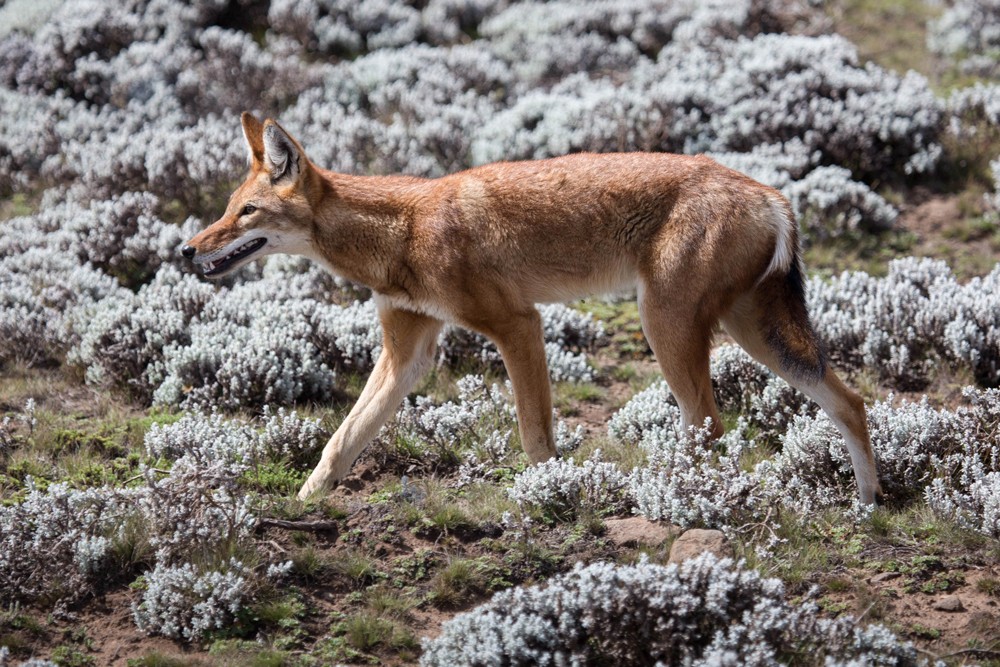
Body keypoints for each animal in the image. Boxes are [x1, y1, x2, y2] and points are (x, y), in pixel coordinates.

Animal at [182, 112, 884, 504]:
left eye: (246, 213)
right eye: (226, 208)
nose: (187, 249)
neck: (401, 229)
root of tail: (771, 193)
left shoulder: (519, 327)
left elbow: (535, 439)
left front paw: (550, 496)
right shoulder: (408, 354)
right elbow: (339, 442)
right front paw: (301, 506)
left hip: (667, 329)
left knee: (712, 426)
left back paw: (682, 497)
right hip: (754, 337)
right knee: (851, 402)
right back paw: (866, 503)